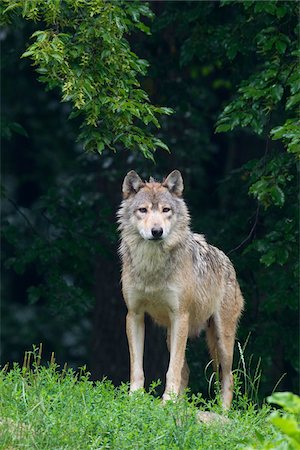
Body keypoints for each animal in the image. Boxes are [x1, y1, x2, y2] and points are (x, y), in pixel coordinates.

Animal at [117, 169, 244, 408]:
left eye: (166, 210)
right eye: (143, 210)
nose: (157, 231)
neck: (152, 267)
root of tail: (228, 261)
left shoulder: (180, 316)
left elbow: (172, 369)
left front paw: (167, 401)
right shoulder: (134, 315)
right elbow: (136, 367)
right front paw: (134, 398)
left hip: (221, 339)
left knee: (228, 377)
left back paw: (223, 412)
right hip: (171, 335)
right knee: (187, 371)